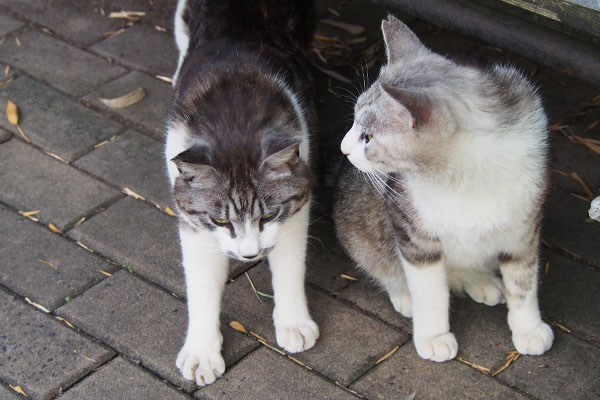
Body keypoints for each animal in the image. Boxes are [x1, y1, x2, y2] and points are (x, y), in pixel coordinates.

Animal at [165, 0, 318, 388]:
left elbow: (290, 264)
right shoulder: (193, 222)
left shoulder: (296, 205)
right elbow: (201, 283)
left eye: (268, 215)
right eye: (220, 221)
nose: (249, 255)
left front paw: (293, 322)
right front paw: (202, 351)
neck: (234, 118)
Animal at [332, 15, 552, 360]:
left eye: (367, 137)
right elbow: (430, 292)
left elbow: (523, 280)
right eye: (355, 124)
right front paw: (433, 335)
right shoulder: (411, 230)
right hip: (360, 227)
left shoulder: (524, 227)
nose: (342, 149)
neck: (464, 176)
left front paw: (528, 328)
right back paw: (404, 293)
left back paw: (479, 280)